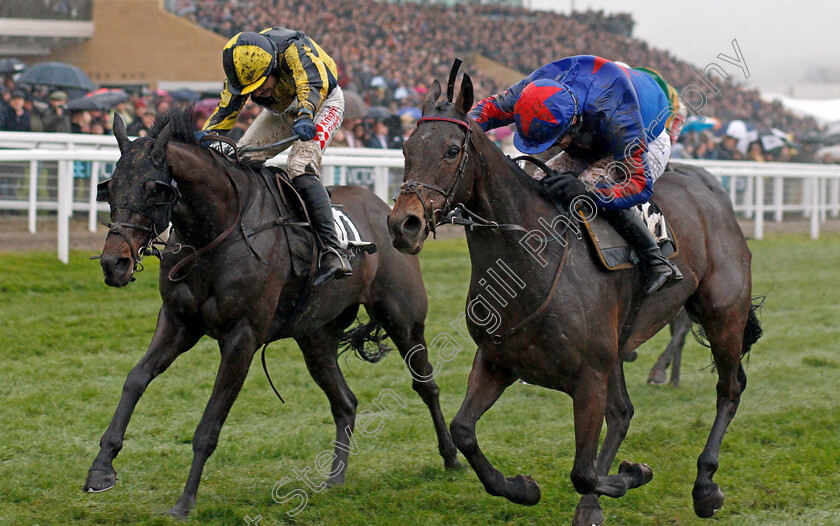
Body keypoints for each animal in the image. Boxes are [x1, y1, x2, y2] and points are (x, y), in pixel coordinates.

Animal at [85, 108, 460, 520]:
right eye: (110, 188)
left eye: (154, 189)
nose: (114, 263)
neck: (217, 231)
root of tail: (389, 211)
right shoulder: (178, 322)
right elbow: (135, 379)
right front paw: (101, 469)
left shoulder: (242, 337)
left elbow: (209, 426)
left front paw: (184, 502)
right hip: (315, 337)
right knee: (345, 403)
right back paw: (334, 479)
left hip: (403, 319)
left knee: (426, 385)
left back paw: (451, 457)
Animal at [388, 75, 760, 526]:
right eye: (406, 149)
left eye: (451, 150)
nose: (404, 224)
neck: (530, 260)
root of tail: (713, 192)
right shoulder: (498, 361)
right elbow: (463, 431)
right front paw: (522, 488)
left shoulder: (588, 378)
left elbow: (582, 472)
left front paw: (632, 474)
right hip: (622, 343)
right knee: (623, 413)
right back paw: (593, 505)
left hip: (723, 312)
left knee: (729, 388)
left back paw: (705, 487)